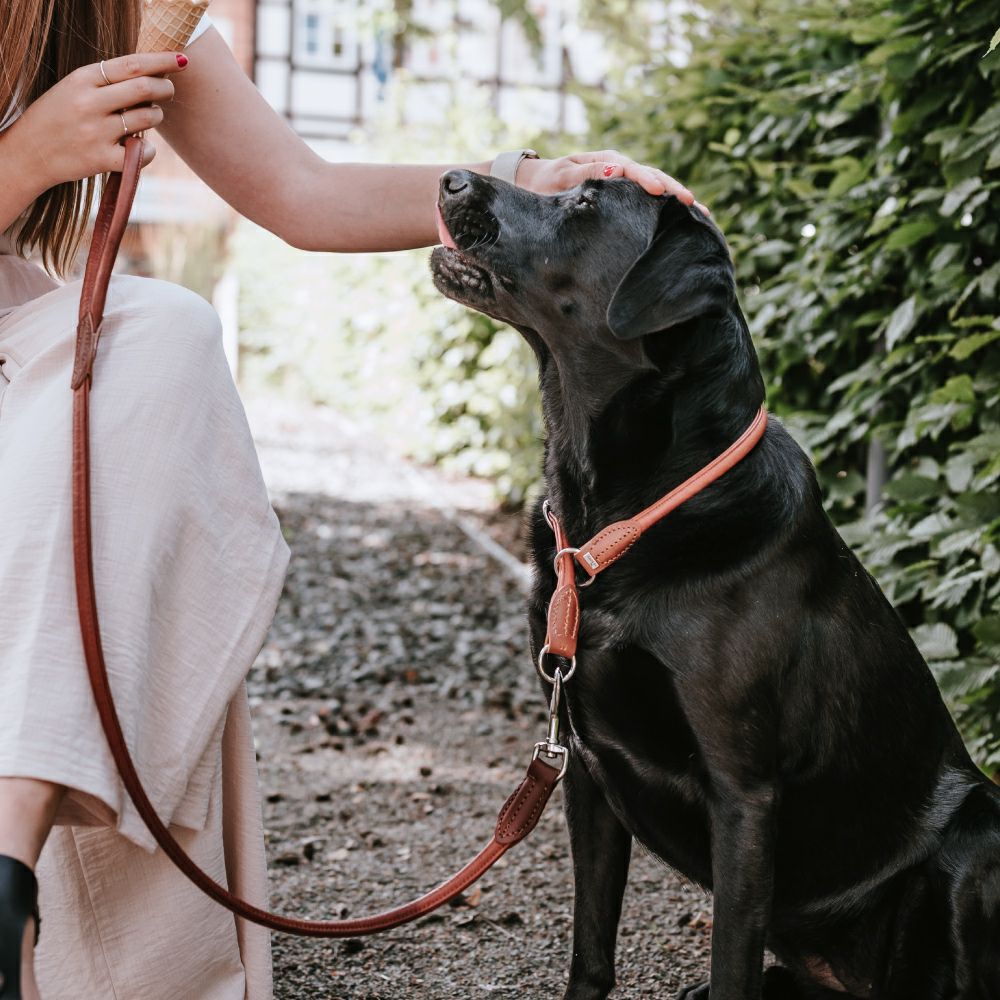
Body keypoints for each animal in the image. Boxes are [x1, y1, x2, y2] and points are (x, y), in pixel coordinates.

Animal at [430, 169, 1000, 1000]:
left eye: (586, 205)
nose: (450, 178)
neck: (621, 514)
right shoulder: (583, 767)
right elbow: (591, 950)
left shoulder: (743, 794)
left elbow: (730, 959)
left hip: (980, 833)